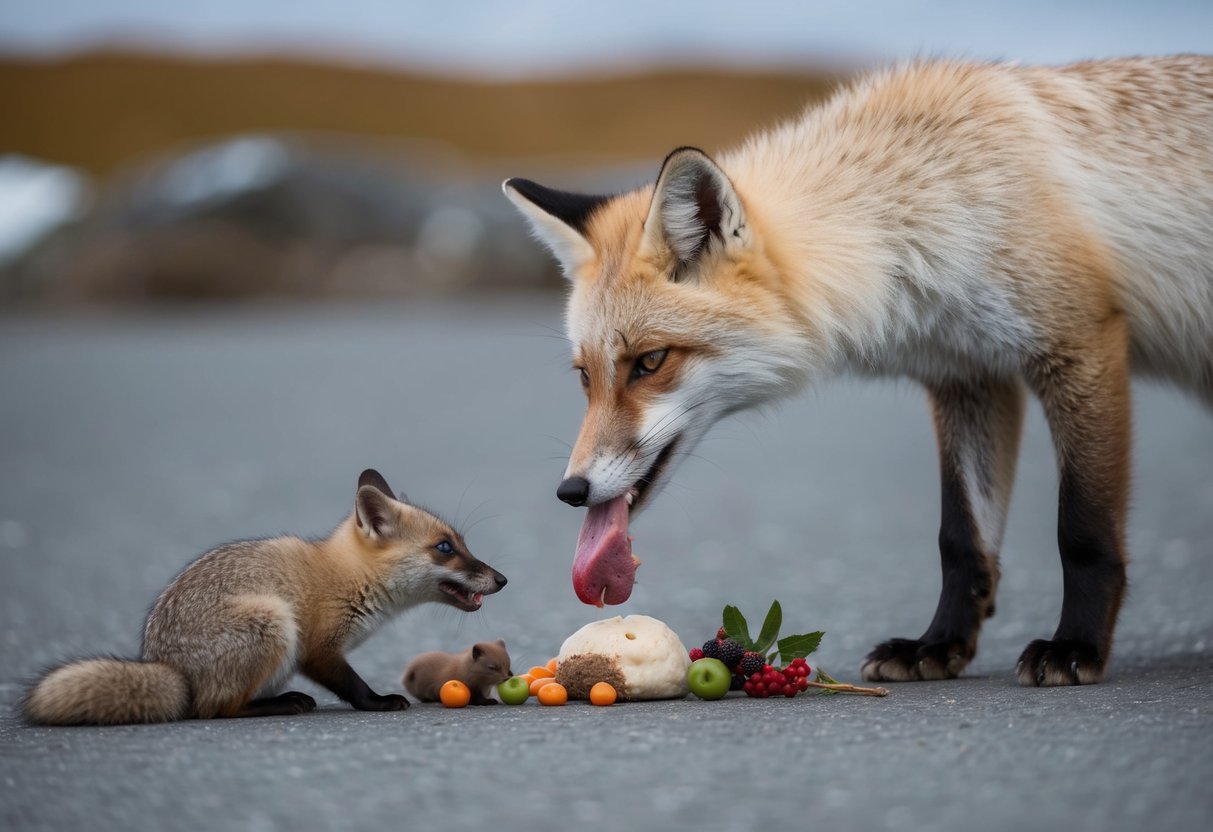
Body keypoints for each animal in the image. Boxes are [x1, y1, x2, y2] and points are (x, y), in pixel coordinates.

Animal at [23, 469, 507, 724]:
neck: (349, 577)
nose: (502, 579)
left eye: (461, 544)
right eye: (445, 548)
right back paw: (280, 703)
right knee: (213, 709)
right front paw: (379, 702)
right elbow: (352, 685)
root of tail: (169, 668)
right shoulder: (317, 648)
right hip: (272, 623)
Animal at [503, 56, 1213, 687]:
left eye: (650, 362)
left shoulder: (1079, 343)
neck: (918, 216)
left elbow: (1082, 530)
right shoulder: (969, 376)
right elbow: (961, 539)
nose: (571, 491)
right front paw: (939, 646)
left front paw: (1077, 648)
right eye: (585, 376)